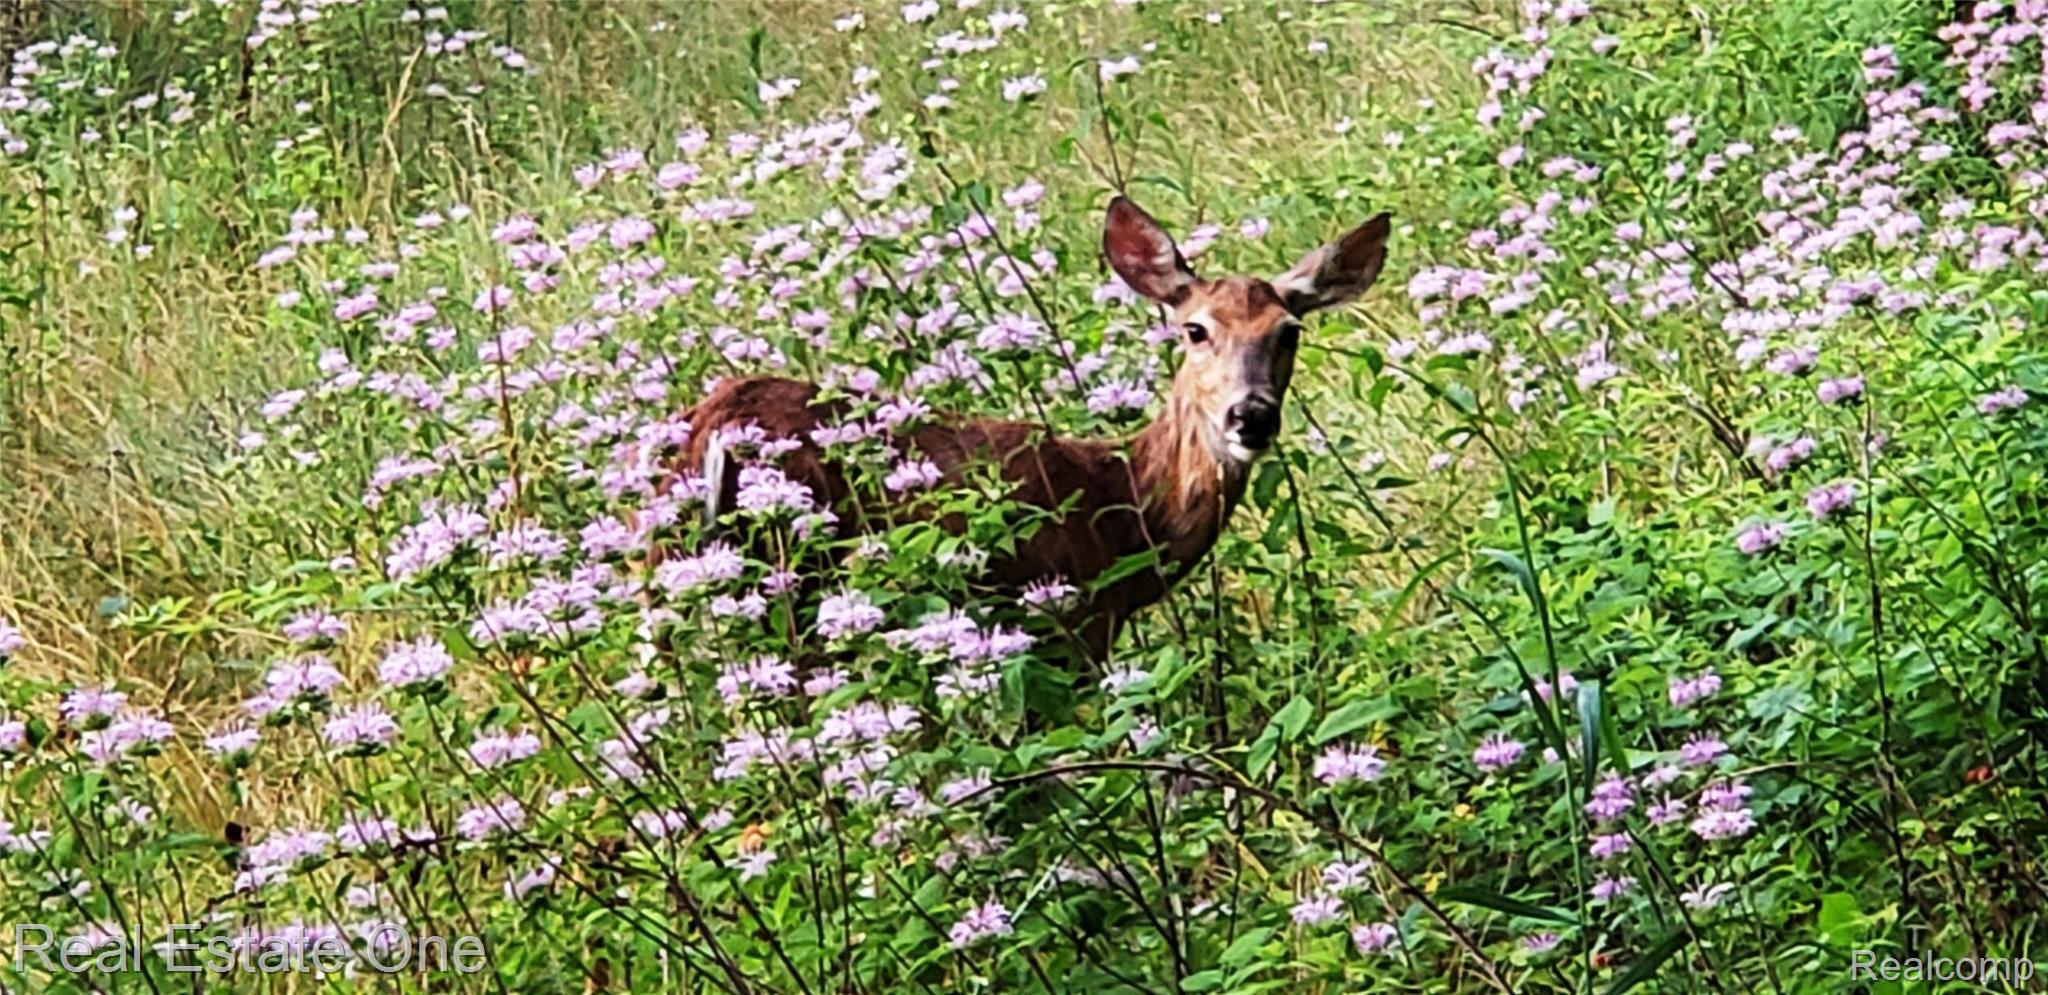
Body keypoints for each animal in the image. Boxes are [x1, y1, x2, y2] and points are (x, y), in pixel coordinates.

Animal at [671, 196, 1390, 669]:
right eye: (1195, 329)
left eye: (1288, 331)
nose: (1252, 415)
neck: (1123, 509)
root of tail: (716, 426)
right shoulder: (1075, 623)